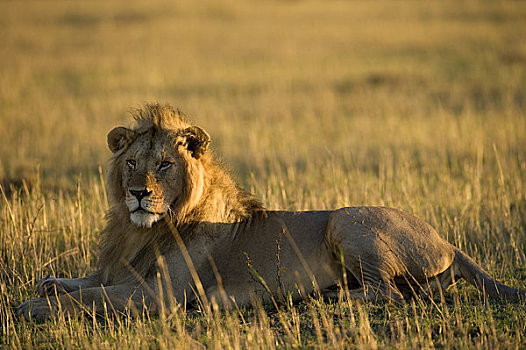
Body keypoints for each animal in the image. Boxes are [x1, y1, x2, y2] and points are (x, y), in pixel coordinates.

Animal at [17, 102, 526, 322]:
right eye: (131, 163)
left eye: (163, 164)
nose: (139, 193)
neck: (143, 229)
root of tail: (449, 242)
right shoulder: (126, 271)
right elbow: (85, 281)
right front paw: (50, 284)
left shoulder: (163, 295)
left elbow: (90, 297)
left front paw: (34, 306)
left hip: (345, 218)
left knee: (391, 295)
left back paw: (330, 298)